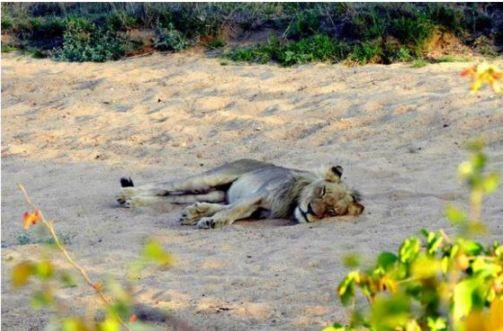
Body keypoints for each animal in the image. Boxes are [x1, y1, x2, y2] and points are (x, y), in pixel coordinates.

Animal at [116, 160, 364, 230]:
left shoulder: (257, 211)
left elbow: (227, 210)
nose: (311, 211)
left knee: (171, 196)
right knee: (166, 185)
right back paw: (126, 193)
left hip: (215, 192)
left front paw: (197, 214)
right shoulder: (257, 196)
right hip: (210, 179)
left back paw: (133, 201)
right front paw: (210, 221)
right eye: (322, 191)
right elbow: (233, 210)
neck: (293, 201)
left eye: (331, 211)